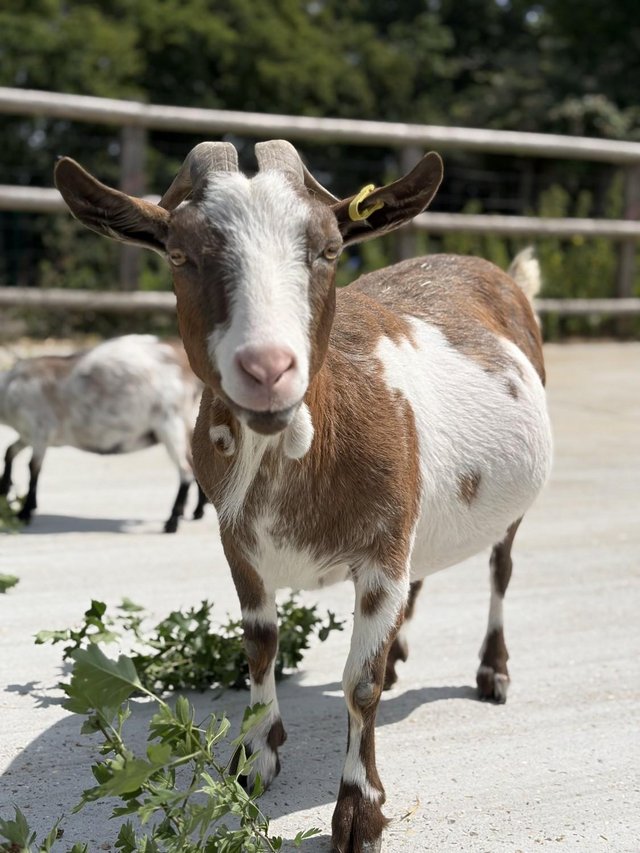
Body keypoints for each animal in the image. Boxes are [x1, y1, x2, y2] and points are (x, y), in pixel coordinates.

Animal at [0, 335, 207, 532]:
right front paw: (5, 488)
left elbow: (33, 468)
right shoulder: (27, 435)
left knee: (185, 471)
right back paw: (198, 511)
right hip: (188, 423)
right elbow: (10, 451)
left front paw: (24, 513)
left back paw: (172, 522)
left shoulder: (40, 432)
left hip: (170, 422)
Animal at [54, 141, 552, 852]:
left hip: (509, 509)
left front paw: (360, 813)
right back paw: (401, 652)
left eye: (329, 249)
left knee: (501, 570)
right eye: (179, 254)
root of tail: (497, 272)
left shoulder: (380, 553)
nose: (267, 368)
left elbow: (359, 684)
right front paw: (256, 757)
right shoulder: (239, 543)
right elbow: (260, 645)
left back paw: (493, 672)